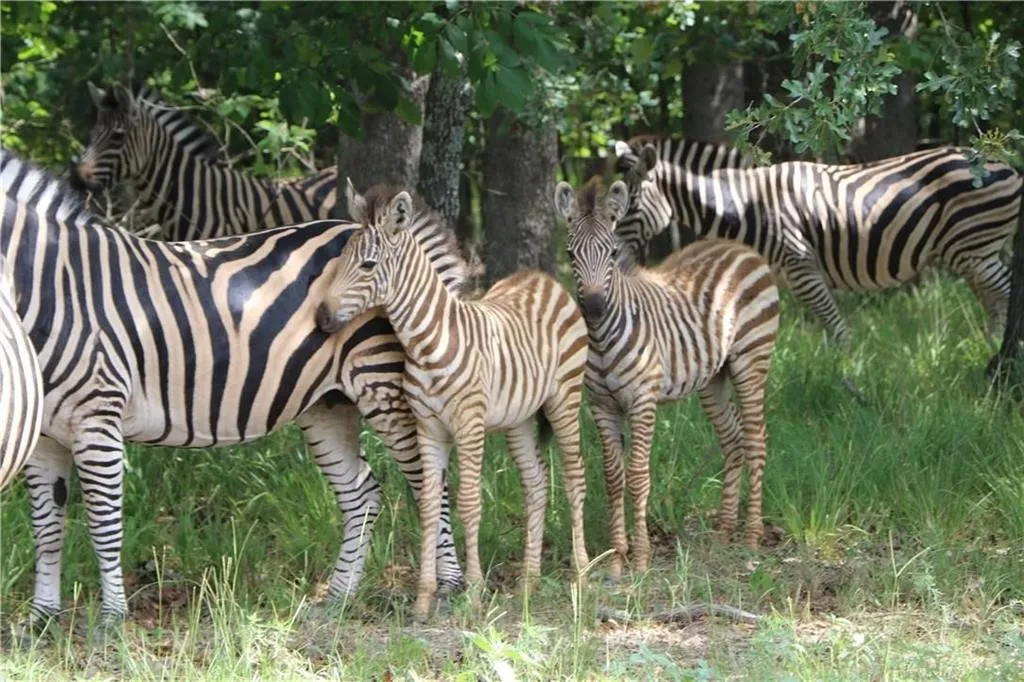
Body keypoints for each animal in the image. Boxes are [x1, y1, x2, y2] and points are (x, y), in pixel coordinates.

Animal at [2, 149, 469, 637]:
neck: (52, 289)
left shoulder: (98, 418)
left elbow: (103, 522)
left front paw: (111, 619)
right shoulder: (45, 437)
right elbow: (46, 528)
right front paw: (39, 620)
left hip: (383, 383)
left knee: (430, 483)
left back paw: (448, 589)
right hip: (327, 404)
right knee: (361, 493)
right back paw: (338, 598)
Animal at [316, 186, 590, 620]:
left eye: (367, 264)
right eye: (341, 260)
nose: (321, 318)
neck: (430, 343)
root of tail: (542, 278)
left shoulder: (469, 426)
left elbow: (469, 503)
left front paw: (474, 593)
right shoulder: (428, 429)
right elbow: (429, 505)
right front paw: (423, 600)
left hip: (564, 397)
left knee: (575, 475)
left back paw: (582, 574)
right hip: (519, 418)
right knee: (535, 483)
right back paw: (529, 581)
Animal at [556, 177, 780, 576]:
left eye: (612, 254)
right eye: (570, 254)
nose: (594, 309)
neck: (601, 339)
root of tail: (740, 248)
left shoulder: (642, 401)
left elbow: (638, 476)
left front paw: (642, 557)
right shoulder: (601, 404)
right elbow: (613, 477)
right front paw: (617, 556)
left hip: (751, 360)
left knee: (756, 440)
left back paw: (752, 536)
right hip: (713, 378)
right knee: (733, 439)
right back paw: (724, 531)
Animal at [615, 137, 1022, 347]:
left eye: (630, 203)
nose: (613, 260)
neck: (745, 206)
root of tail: (1007, 163)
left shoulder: (802, 267)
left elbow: (836, 328)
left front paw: (850, 377)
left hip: (976, 247)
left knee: (1004, 293)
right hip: (968, 251)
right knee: (994, 300)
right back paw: (990, 347)